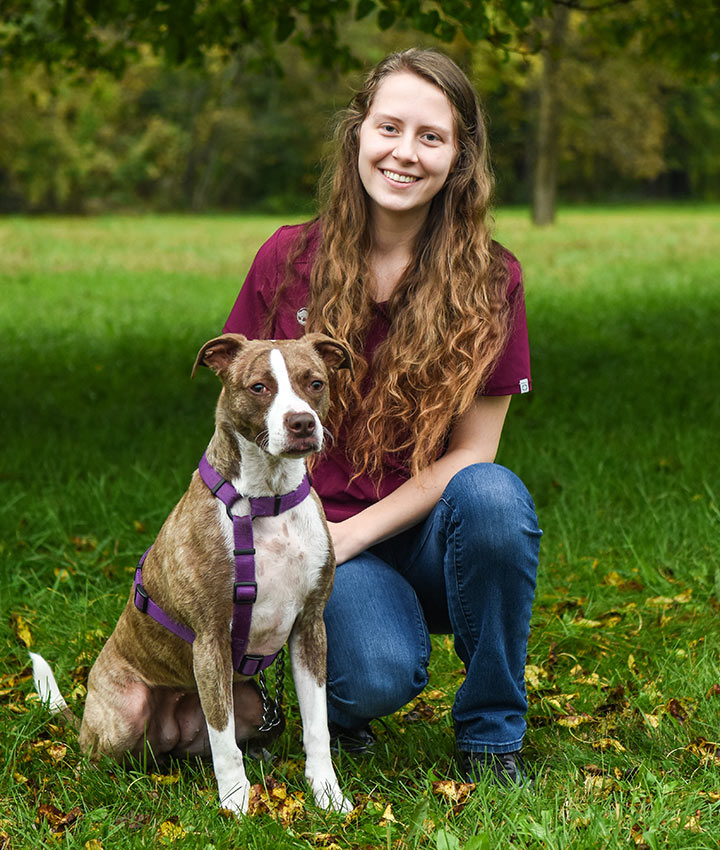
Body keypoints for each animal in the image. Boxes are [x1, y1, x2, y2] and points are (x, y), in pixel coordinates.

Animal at [31, 332, 354, 816]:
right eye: (259, 387)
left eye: (315, 382)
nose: (301, 423)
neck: (266, 500)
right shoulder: (210, 640)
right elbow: (224, 742)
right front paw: (236, 804)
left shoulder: (310, 628)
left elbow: (317, 727)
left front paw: (327, 794)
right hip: (125, 713)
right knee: (98, 754)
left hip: (250, 703)